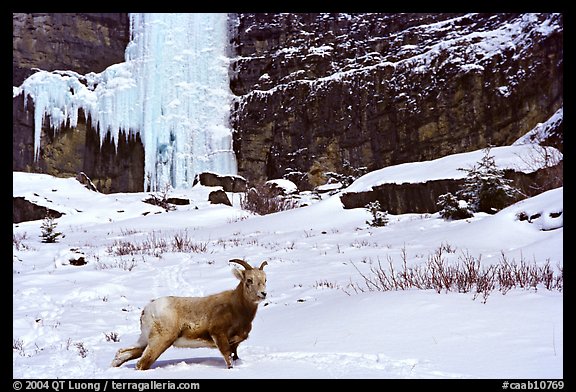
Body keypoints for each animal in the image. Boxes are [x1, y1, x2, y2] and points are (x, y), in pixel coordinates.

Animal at [111, 258, 268, 370]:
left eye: (265, 280)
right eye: (249, 280)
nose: (263, 294)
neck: (236, 308)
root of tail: (148, 309)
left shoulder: (235, 342)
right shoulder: (219, 335)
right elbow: (228, 359)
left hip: (145, 340)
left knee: (125, 353)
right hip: (160, 340)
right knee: (142, 363)